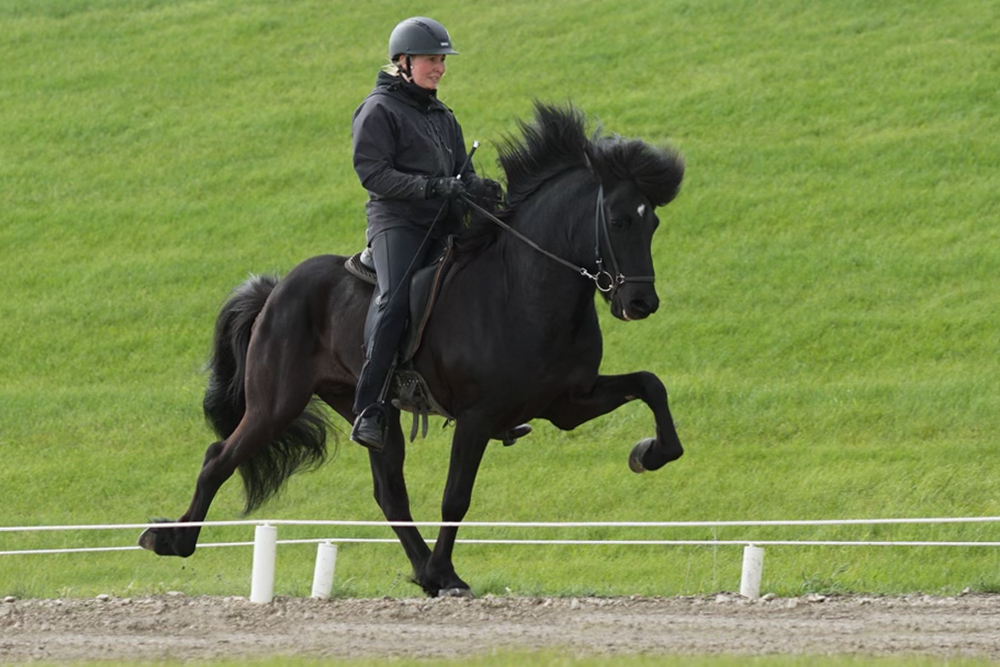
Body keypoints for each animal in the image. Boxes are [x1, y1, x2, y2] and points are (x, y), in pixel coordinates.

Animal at [139, 105, 688, 600]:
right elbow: (455, 498)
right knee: (219, 457)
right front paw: (452, 576)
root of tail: (276, 289)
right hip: (276, 403)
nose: (641, 303)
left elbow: (650, 384)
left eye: (654, 223)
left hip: (366, 408)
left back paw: (425, 572)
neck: (524, 287)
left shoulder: (568, 403)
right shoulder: (478, 417)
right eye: (617, 220)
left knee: (390, 493)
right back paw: (170, 540)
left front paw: (650, 453)